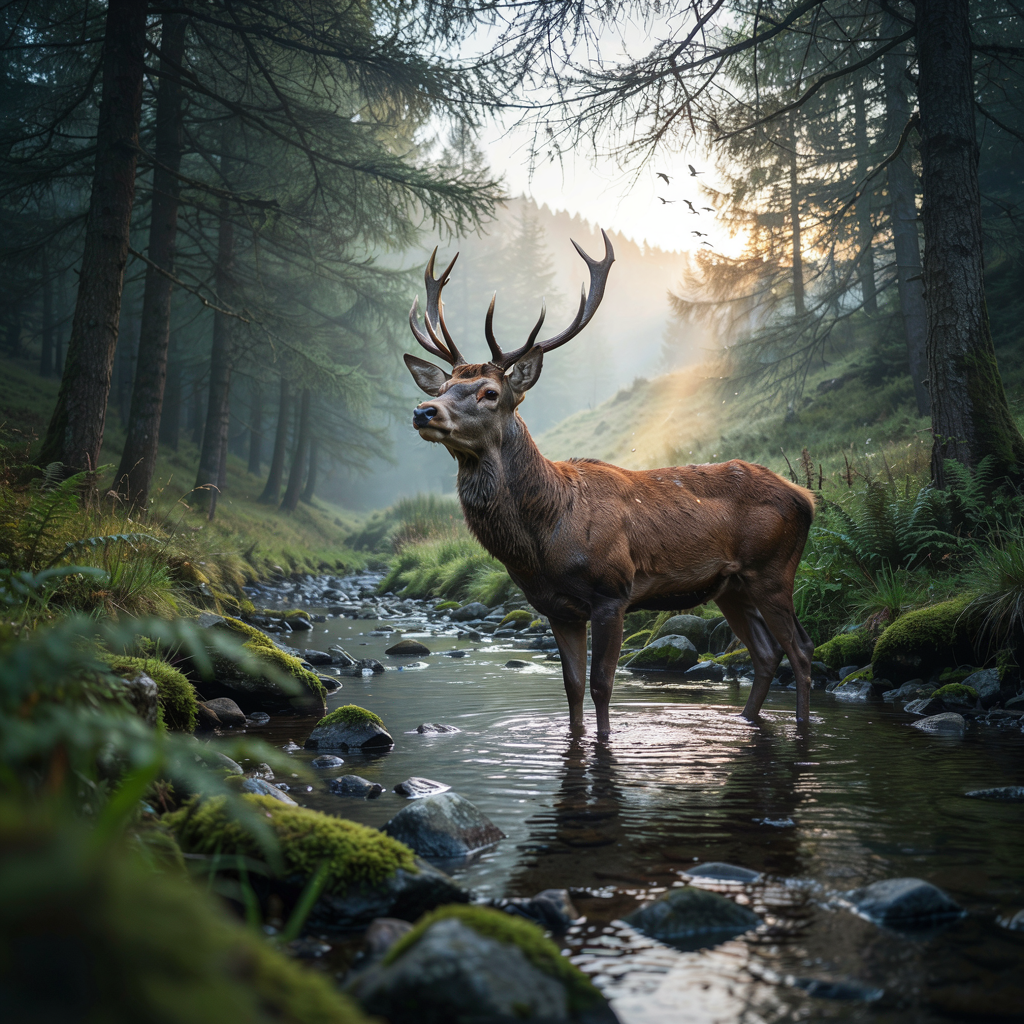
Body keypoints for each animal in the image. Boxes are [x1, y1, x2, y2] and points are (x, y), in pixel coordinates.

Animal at [404, 231, 816, 738]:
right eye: (442, 389)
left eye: (490, 392)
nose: (424, 411)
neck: (545, 536)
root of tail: (806, 497)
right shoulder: (557, 608)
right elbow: (573, 690)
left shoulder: (612, 591)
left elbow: (602, 686)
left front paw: (605, 738)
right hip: (732, 587)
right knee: (766, 653)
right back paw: (746, 721)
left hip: (773, 571)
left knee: (800, 649)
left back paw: (802, 726)